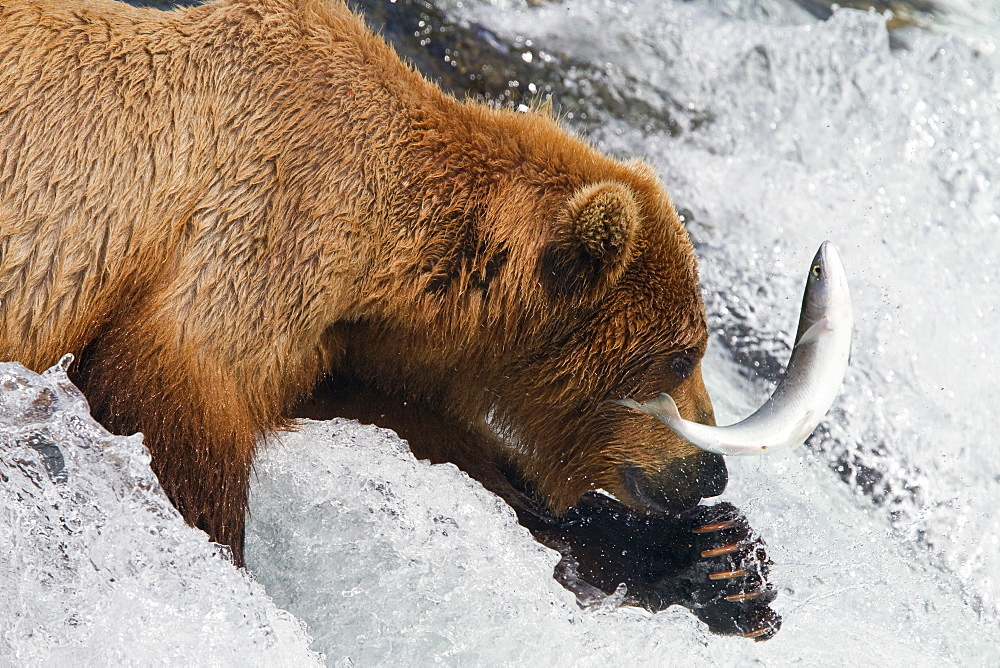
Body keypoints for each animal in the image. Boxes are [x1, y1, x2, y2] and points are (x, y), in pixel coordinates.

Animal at [0, 0, 776, 640]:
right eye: (680, 356)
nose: (710, 472)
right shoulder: (255, 242)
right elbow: (174, 415)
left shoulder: (341, 342)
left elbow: (424, 430)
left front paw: (717, 563)